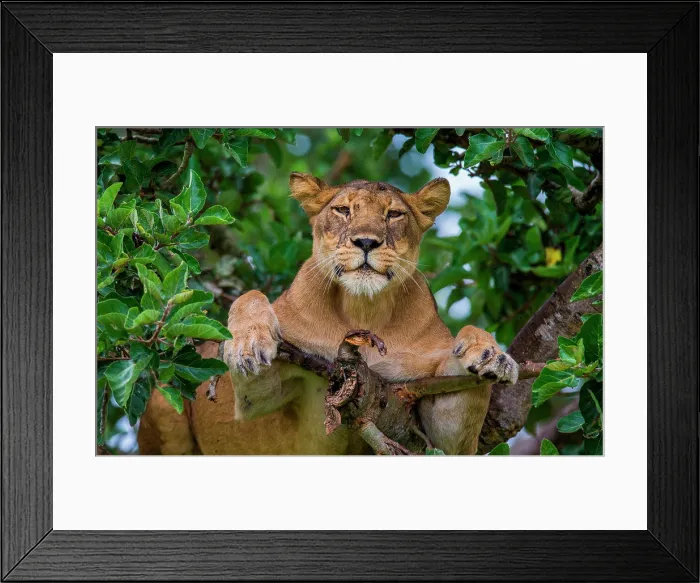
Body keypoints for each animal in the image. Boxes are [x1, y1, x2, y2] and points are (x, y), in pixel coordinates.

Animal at [137, 173, 518, 455]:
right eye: (343, 210)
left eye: (394, 215)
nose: (366, 242)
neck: (364, 309)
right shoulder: (255, 398)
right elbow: (251, 297)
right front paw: (248, 343)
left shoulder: (438, 433)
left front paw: (491, 356)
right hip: (162, 404)